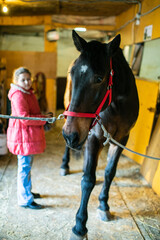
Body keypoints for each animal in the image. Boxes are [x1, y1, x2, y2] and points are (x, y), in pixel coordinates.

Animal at [62, 30, 139, 240]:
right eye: (73, 73)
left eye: (99, 78)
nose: (70, 135)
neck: (115, 105)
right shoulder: (92, 137)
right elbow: (88, 180)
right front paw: (79, 226)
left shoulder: (121, 139)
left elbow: (109, 172)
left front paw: (104, 205)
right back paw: (65, 164)